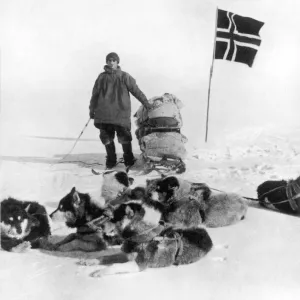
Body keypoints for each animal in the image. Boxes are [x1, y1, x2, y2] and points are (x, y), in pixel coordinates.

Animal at [78, 199, 213, 276]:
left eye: (110, 217)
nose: (91, 225)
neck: (140, 234)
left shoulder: (139, 264)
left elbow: (115, 265)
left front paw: (101, 271)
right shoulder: (126, 255)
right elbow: (105, 257)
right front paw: (90, 261)